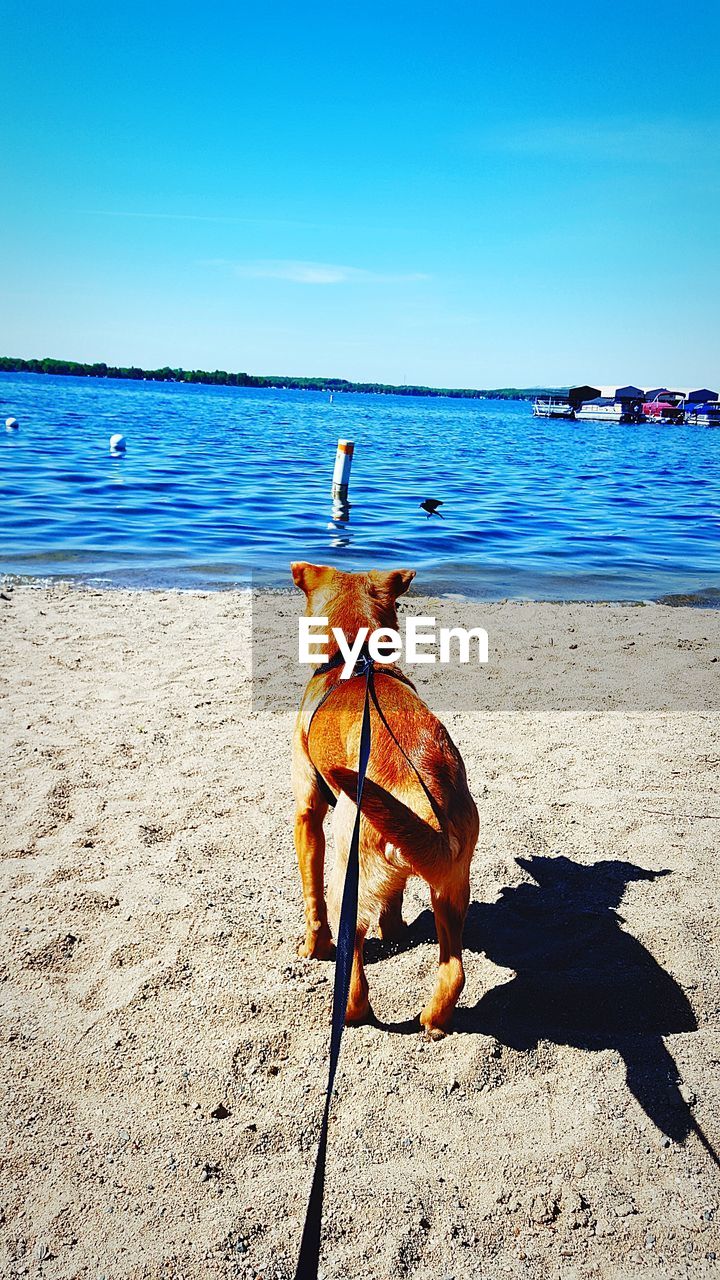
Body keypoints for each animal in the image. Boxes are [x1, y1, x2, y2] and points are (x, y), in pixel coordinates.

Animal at [288, 565, 479, 1034]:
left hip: (347, 877)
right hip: (450, 889)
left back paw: (347, 1011)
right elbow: (392, 906)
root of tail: (423, 798)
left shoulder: (308, 813)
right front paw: (393, 929)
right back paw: (433, 1019)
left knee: (353, 972)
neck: (356, 660)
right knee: (454, 971)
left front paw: (312, 947)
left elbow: (312, 899)